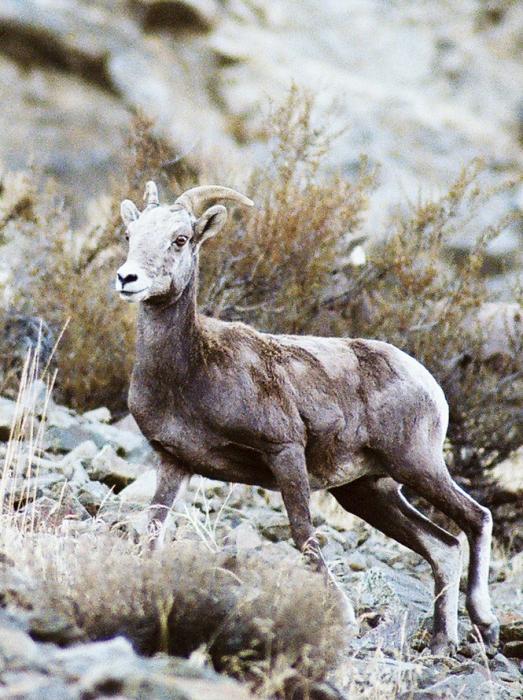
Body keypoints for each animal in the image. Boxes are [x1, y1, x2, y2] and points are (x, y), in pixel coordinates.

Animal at [115, 182, 500, 656]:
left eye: (180, 239)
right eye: (130, 235)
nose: (128, 279)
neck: (191, 369)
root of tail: (427, 381)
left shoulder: (284, 451)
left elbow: (303, 535)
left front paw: (346, 618)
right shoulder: (173, 462)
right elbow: (152, 530)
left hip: (416, 465)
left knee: (476, 518)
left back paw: (483, 620)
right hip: (367, 492)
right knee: (442, 546)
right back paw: (441, 643)